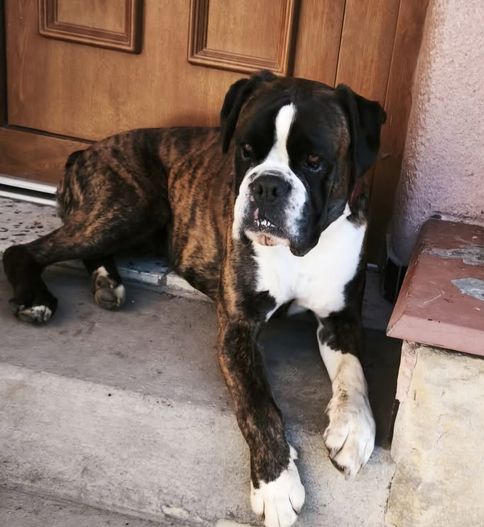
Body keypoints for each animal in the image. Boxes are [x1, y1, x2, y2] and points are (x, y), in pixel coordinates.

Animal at [3, 71, 385, 527]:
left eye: (314, 160)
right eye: (245, 151)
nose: (267, 185)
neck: (303, 253)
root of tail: (87, 148)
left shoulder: (341, 319)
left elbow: (354, 373)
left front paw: (354, 429)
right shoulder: (237, 327)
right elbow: (258, 405)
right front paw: (275, 484)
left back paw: (106, 282)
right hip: (130, 207)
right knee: (23, 250)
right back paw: (35, 298)